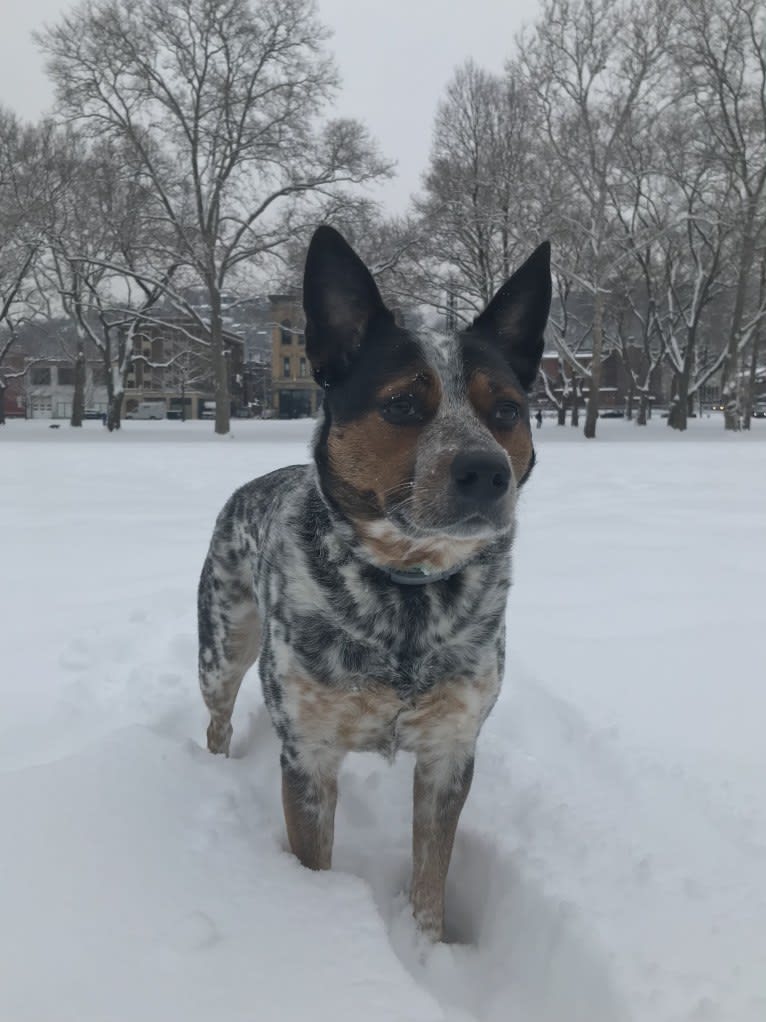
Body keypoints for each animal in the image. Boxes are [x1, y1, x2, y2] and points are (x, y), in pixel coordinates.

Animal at [198, 225, 551, 940]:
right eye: (403, 404)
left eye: (507, 410)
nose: (487, 472)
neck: (407, 592)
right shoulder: (308, 754)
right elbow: (314, 862)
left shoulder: (450, 750)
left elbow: (430, 881)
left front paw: (425, 947)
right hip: (221, 648)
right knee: (217, 718)